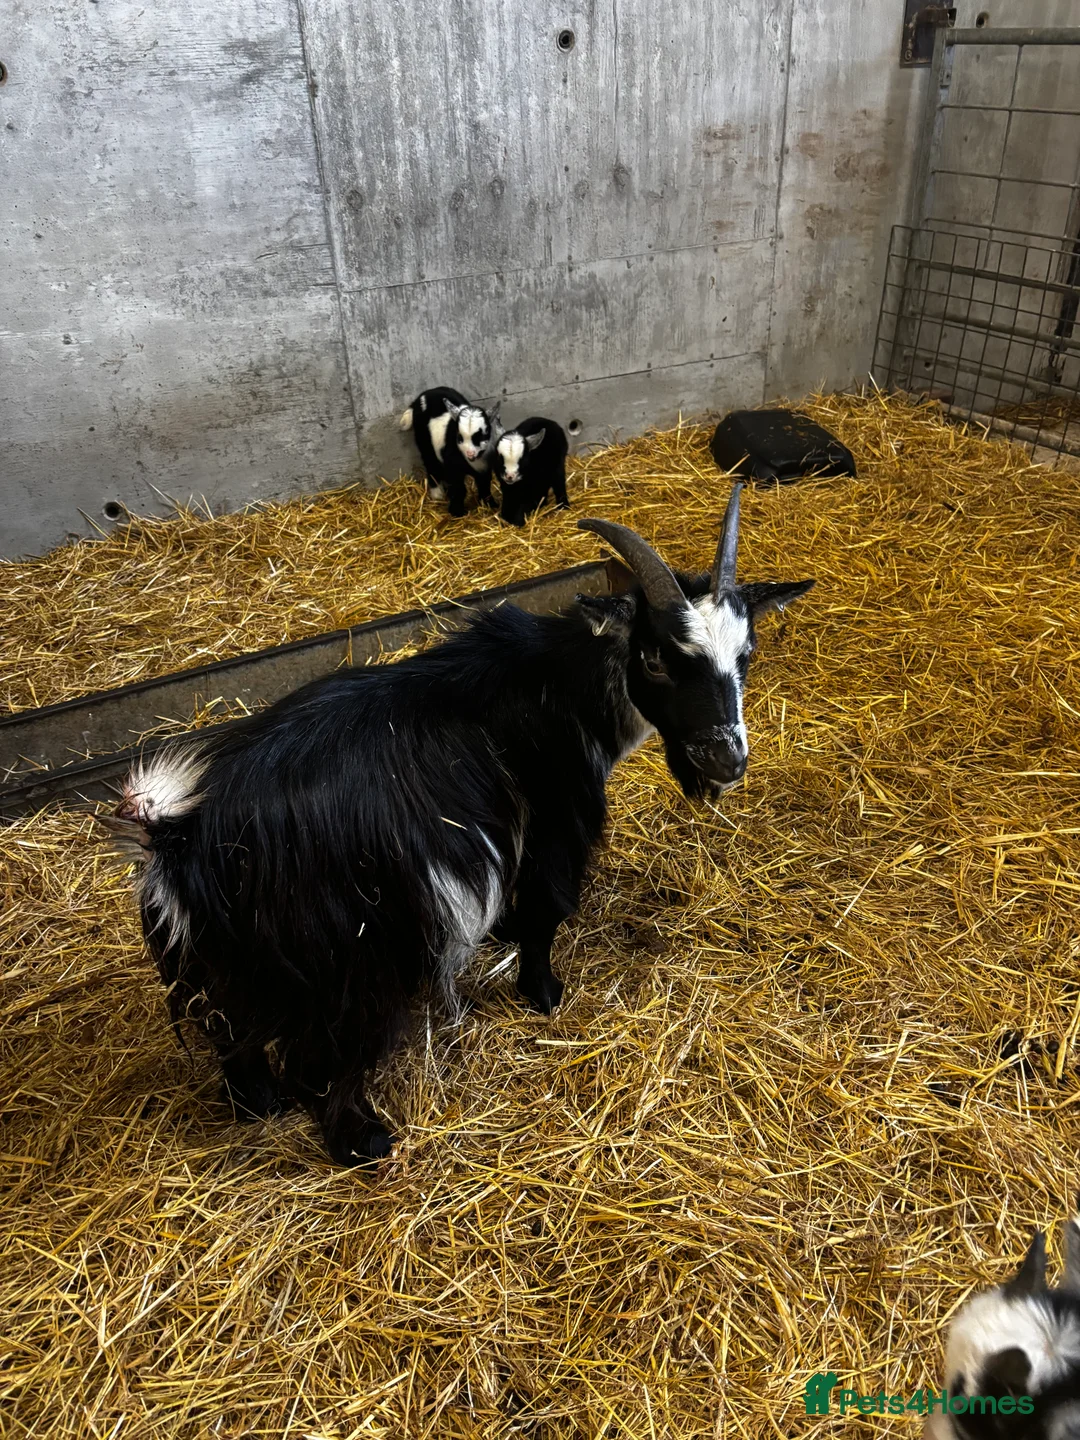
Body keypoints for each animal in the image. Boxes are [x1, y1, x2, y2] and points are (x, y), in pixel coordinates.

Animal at [111, 487, 812, 1165]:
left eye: (746, 654)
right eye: (658, 658)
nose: (725, 760)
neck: (564, 686)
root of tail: (181, 837)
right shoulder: (556, 823)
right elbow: (545, 911)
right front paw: (545, 993)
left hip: (217, 960)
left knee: (230, 1035)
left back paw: (258, 1106)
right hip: (345, 956)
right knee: (320, 1058)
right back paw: (362, 1142)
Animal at [399, 386, 500, 515]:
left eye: (482, 435)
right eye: (459, 437)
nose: (470, 453)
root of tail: (419, 399)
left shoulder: (484, 467)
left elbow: (485, 485)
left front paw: (492, 505)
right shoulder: (453, 465)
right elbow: (459, 488)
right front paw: (458, 512)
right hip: (423, 437)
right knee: (431, 462)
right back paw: (437, 494)